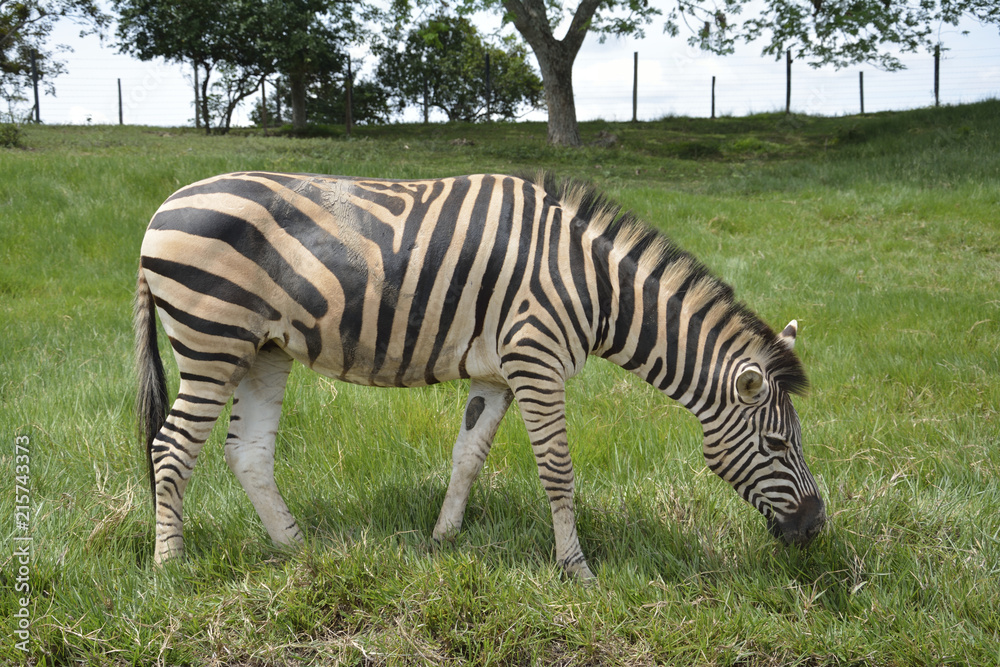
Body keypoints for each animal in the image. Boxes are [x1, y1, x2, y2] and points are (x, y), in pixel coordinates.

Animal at [135, 171, 825, 579]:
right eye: (776, 443)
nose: (817, 529)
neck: (595, 289)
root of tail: (161, 208)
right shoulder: (537, 361)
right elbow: (557, 470)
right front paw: (577, 571)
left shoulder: (497, 374)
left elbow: (467, 456)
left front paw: (442, 541)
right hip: (212, 341)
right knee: (171, 448)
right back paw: (172, 569)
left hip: (264, 348)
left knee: (247, 451)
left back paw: (295, 549)